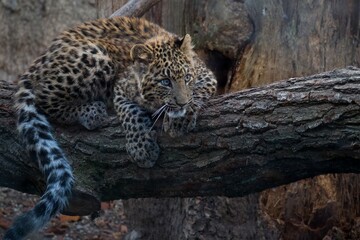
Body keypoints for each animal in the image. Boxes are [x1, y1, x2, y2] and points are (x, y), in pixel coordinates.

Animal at [4, 15, 217, 239]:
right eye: (165, 82)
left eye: (187, 77)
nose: (181, 103)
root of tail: (43, 56)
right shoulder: (120, 89)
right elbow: (130, 113)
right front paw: (142, 151)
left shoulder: (207, 76)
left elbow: (197, 93)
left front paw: (180, 119)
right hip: (97, 55)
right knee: (42, 96)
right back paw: (91, 112)